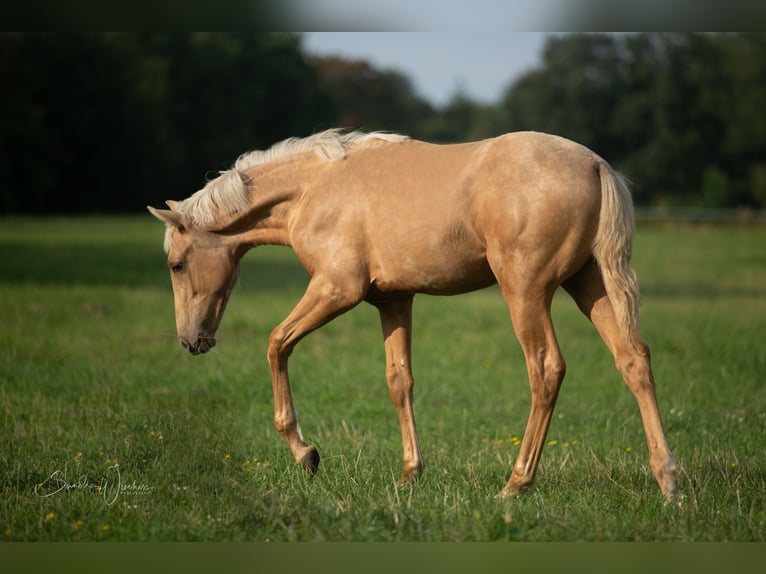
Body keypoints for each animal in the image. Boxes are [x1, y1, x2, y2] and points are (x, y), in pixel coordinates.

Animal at [147, 128, 680, 502]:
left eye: (176, 265)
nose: (191, 341)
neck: (314, 190)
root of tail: (595, 164)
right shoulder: (394, 301)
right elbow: (398, 381)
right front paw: (410, 474)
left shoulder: (336, 289)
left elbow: (277, 343)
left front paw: (306, 454)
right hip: (590, 285)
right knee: (634, 361)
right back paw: (669, 482)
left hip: (527, 292)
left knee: (546, 369)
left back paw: (516, 483)